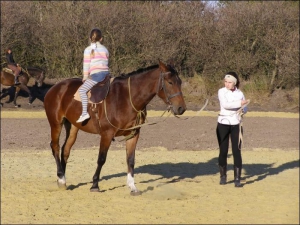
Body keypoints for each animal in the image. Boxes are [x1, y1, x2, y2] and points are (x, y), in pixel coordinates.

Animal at [43, 60, 186, 195]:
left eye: (180, 82)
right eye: (170, 82)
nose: (181, 108)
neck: (126, 99)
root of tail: (55, 87)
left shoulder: (134, 135)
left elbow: (130, 160)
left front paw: (132, 187)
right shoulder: (107, 134)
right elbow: (101, 159)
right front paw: (95, 185)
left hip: (73, 127)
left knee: (65, 150)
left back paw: (62, 180)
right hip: (56, 124)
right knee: (55, 147)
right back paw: (61, 177)